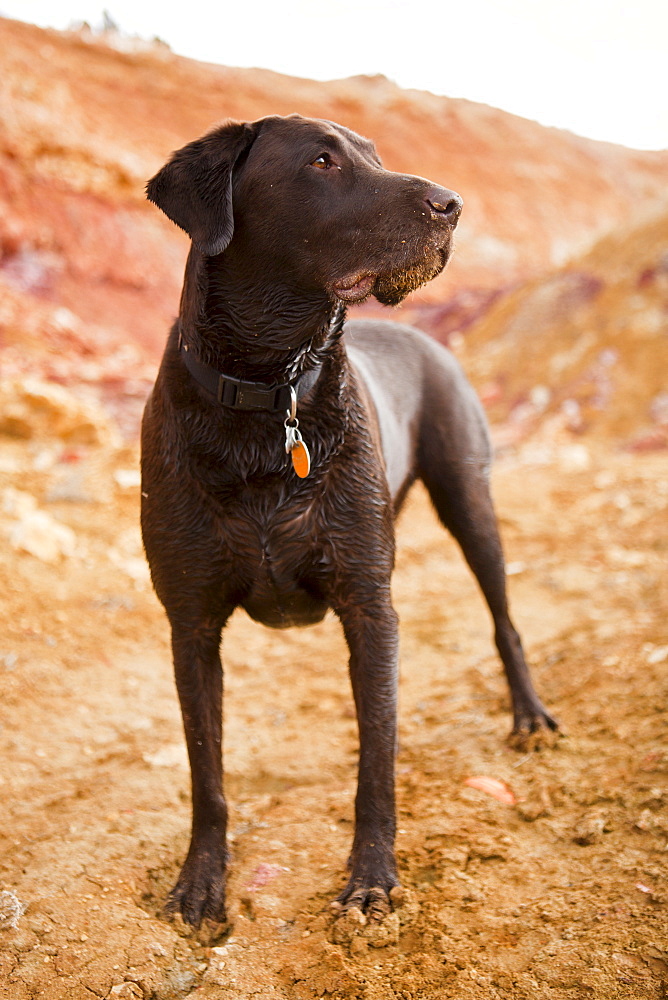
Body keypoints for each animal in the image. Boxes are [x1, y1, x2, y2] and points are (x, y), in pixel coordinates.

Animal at [140, 115, 552, 928]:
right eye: (323, 161)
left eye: (377, 156)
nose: (451, 204)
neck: (272, 396)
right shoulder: (190, 624)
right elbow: (207, 773)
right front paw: (199, 885)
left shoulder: (370, 606)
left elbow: (376, 759)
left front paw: (372, 880)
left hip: (469, 501)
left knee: (504, 619)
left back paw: (528, 717)